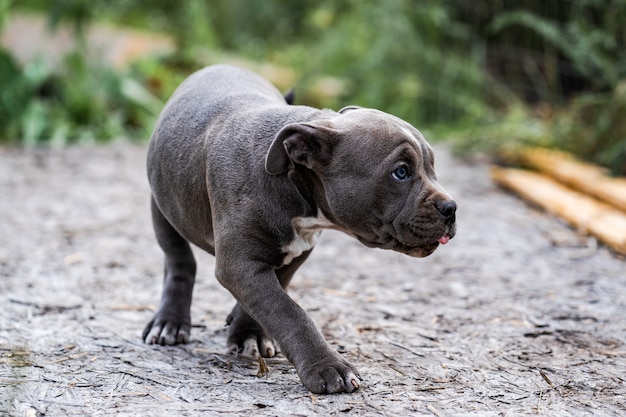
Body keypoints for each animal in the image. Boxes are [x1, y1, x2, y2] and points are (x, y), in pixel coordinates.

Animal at [143, 65, 454, 394]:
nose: (451, 208)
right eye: (401, 172)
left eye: (432, 168)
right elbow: (289, 311)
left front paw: (248, 333)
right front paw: (328, 367)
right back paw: (170, 322)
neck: (291, 181)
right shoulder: (239, 263)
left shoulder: (296, 252)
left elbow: (273, 299)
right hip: (162, 206)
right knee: (179, 261)